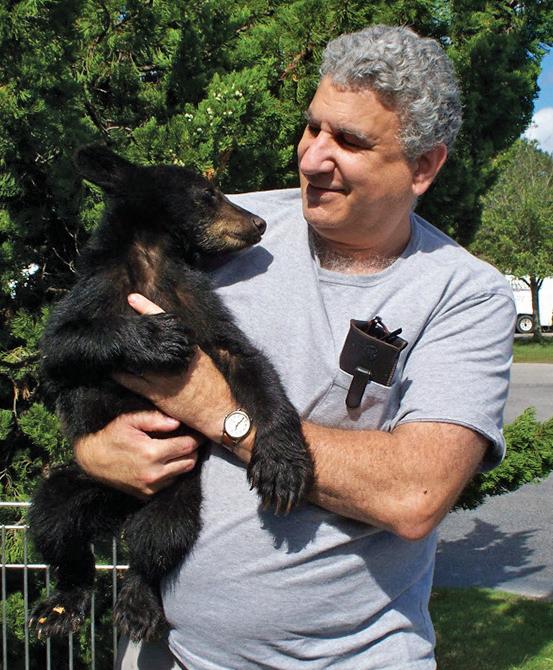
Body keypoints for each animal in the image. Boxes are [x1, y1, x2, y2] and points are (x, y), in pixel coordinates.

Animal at [28, 145, 314, 642]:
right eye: (209, 194)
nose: (257, 221)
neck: (151, 259)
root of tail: (123, 507)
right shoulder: (95, 292)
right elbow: (62, 345)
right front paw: (156, 337)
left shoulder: (194, 298)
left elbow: (241, 358)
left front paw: (282, 465)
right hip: (84, 482)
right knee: (54, 520)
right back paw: (60, 605)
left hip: (178, 491)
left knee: (158, 538)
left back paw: (139, 601)